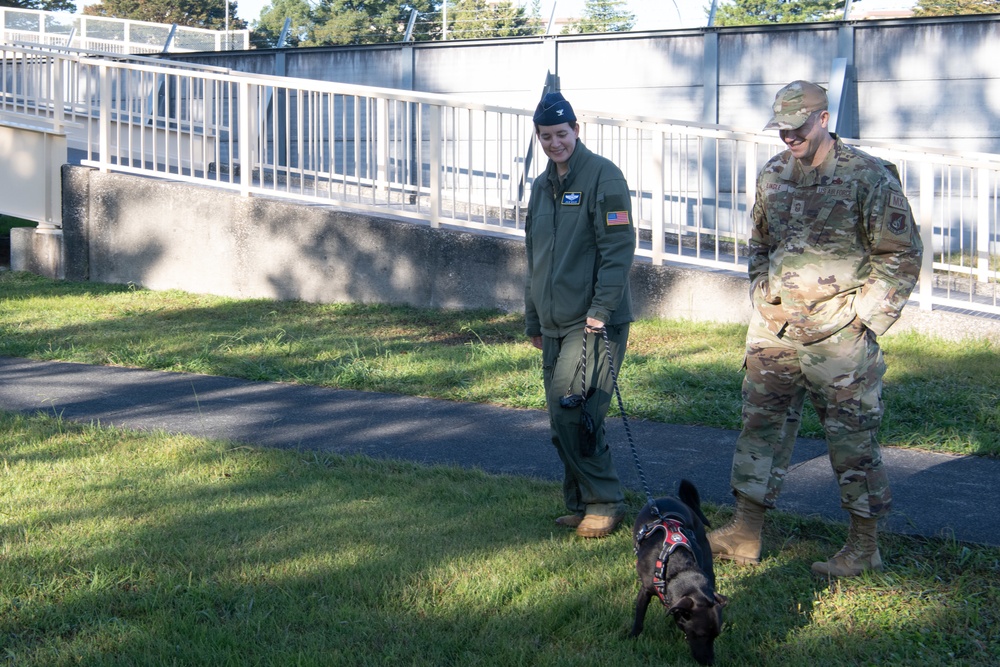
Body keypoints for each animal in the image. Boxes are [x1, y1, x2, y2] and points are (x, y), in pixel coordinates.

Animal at [632, 482, 728, 664]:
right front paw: (632, 637)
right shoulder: (645, 591)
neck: (679, 571)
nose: (710, 662)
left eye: (716, 636)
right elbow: (639, 617)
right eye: (699, 635)